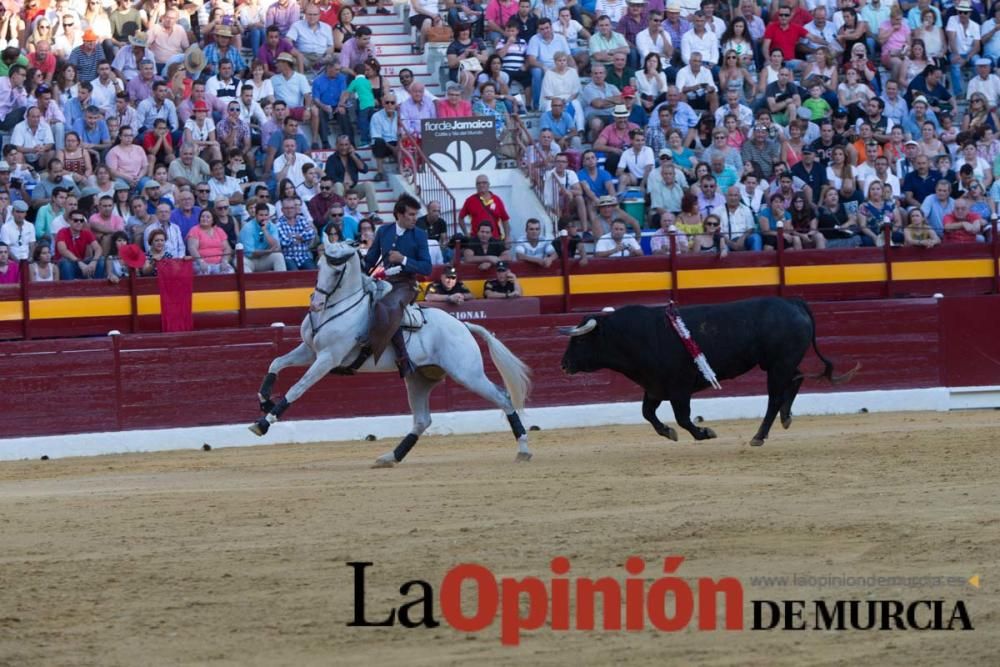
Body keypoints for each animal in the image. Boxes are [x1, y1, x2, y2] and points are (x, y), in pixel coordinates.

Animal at [248, 237, 532, 468]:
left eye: (337, 269)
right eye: (319, 264)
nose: (316, 304)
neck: (340, 307)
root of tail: (462, 325)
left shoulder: (328, 358)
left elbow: (297, 387)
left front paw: (264, 422)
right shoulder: (310, 350)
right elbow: (276, 363)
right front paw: (264, 400)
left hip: (468, 374)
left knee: (503, 398)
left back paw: (524, 450)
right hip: (419, 379)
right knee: (422, 420)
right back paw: (390, 457)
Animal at [560, 298, 856, 446]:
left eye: (580, 341)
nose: (563, 364)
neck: (630, 337)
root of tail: (794, 303)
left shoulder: (679, 388)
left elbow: (683, 417)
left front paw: (704, 433)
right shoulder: (654, 387)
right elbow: (648, 414)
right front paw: (668, 433)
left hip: (778, 365)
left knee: (774, 398)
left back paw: (759, 436)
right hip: (779, 362)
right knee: (796, 380)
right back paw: (786, 418)